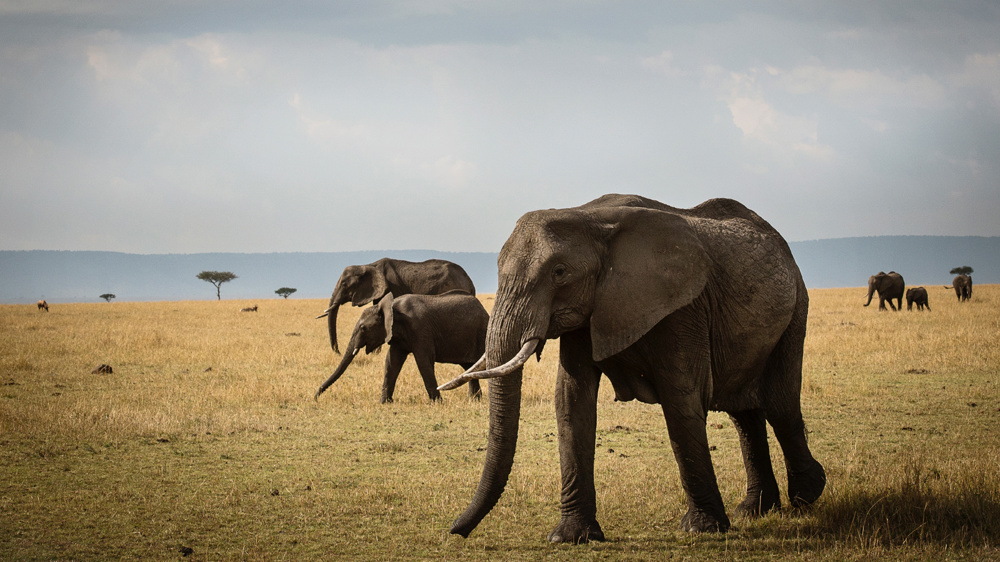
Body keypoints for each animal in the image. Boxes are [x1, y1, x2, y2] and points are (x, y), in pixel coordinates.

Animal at [315, 291, 486, 403]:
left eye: (363, 328)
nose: (316, 397)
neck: (391, 306)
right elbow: (392, 362)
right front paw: (384, 403)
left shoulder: (420, 328)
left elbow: (423, 361)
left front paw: (437, 403)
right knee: (469, 367)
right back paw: (474, 401)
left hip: (482, 333)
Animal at [316, 258, 476, 354]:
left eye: (344, 284)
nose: (338, 352)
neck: (369, 266)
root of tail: (470, 282)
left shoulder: (391, 287)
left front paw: (376, 353)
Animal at [438, 194, 825, 543]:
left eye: (559, 273)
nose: (456, 531)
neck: (590, 217)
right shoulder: (590, 312)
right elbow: (572, 402)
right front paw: (570, 537)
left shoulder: (682, 309)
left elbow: (682, 402)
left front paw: (703, 530)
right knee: (744, 414)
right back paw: (754, 510)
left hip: (796, 309)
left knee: (779, 404)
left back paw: (808, 495)